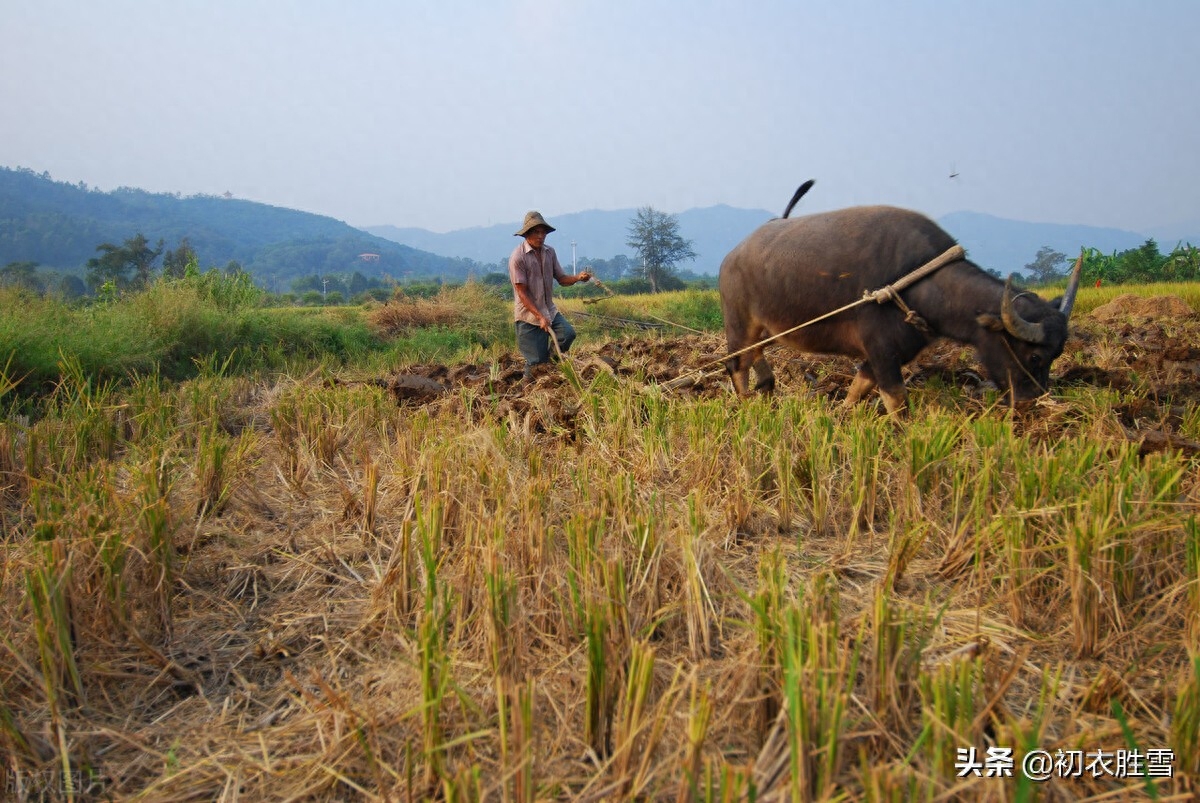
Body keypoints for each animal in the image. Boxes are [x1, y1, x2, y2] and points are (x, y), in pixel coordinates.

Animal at [715, 190, 1084, 410]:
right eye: (1034, 356)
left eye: (1057, 355)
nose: (1033, 403)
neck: (919, 281)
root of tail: (731, 257)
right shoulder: (882, 350)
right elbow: (897, 402)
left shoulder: (885, 354)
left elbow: (858, 390)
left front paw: (844, 414)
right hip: (739, 324)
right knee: (736, 364)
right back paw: (746, 403)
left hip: (765, 327)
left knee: (755, 356)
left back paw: (767, 388)